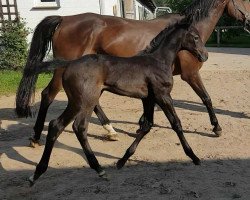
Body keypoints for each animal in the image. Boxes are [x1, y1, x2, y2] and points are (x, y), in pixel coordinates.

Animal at [26, 18, 207, 185]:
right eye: (195, 37)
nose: (204, 56)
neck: (158, 61)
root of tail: (69, 63)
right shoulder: (163, 95)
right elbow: (176, 124)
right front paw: (194, 157)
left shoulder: (148, 98)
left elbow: (147, 125)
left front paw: (122, 160)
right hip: (83, 101)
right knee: (71, 126)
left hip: (80, 101)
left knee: (64, 126)